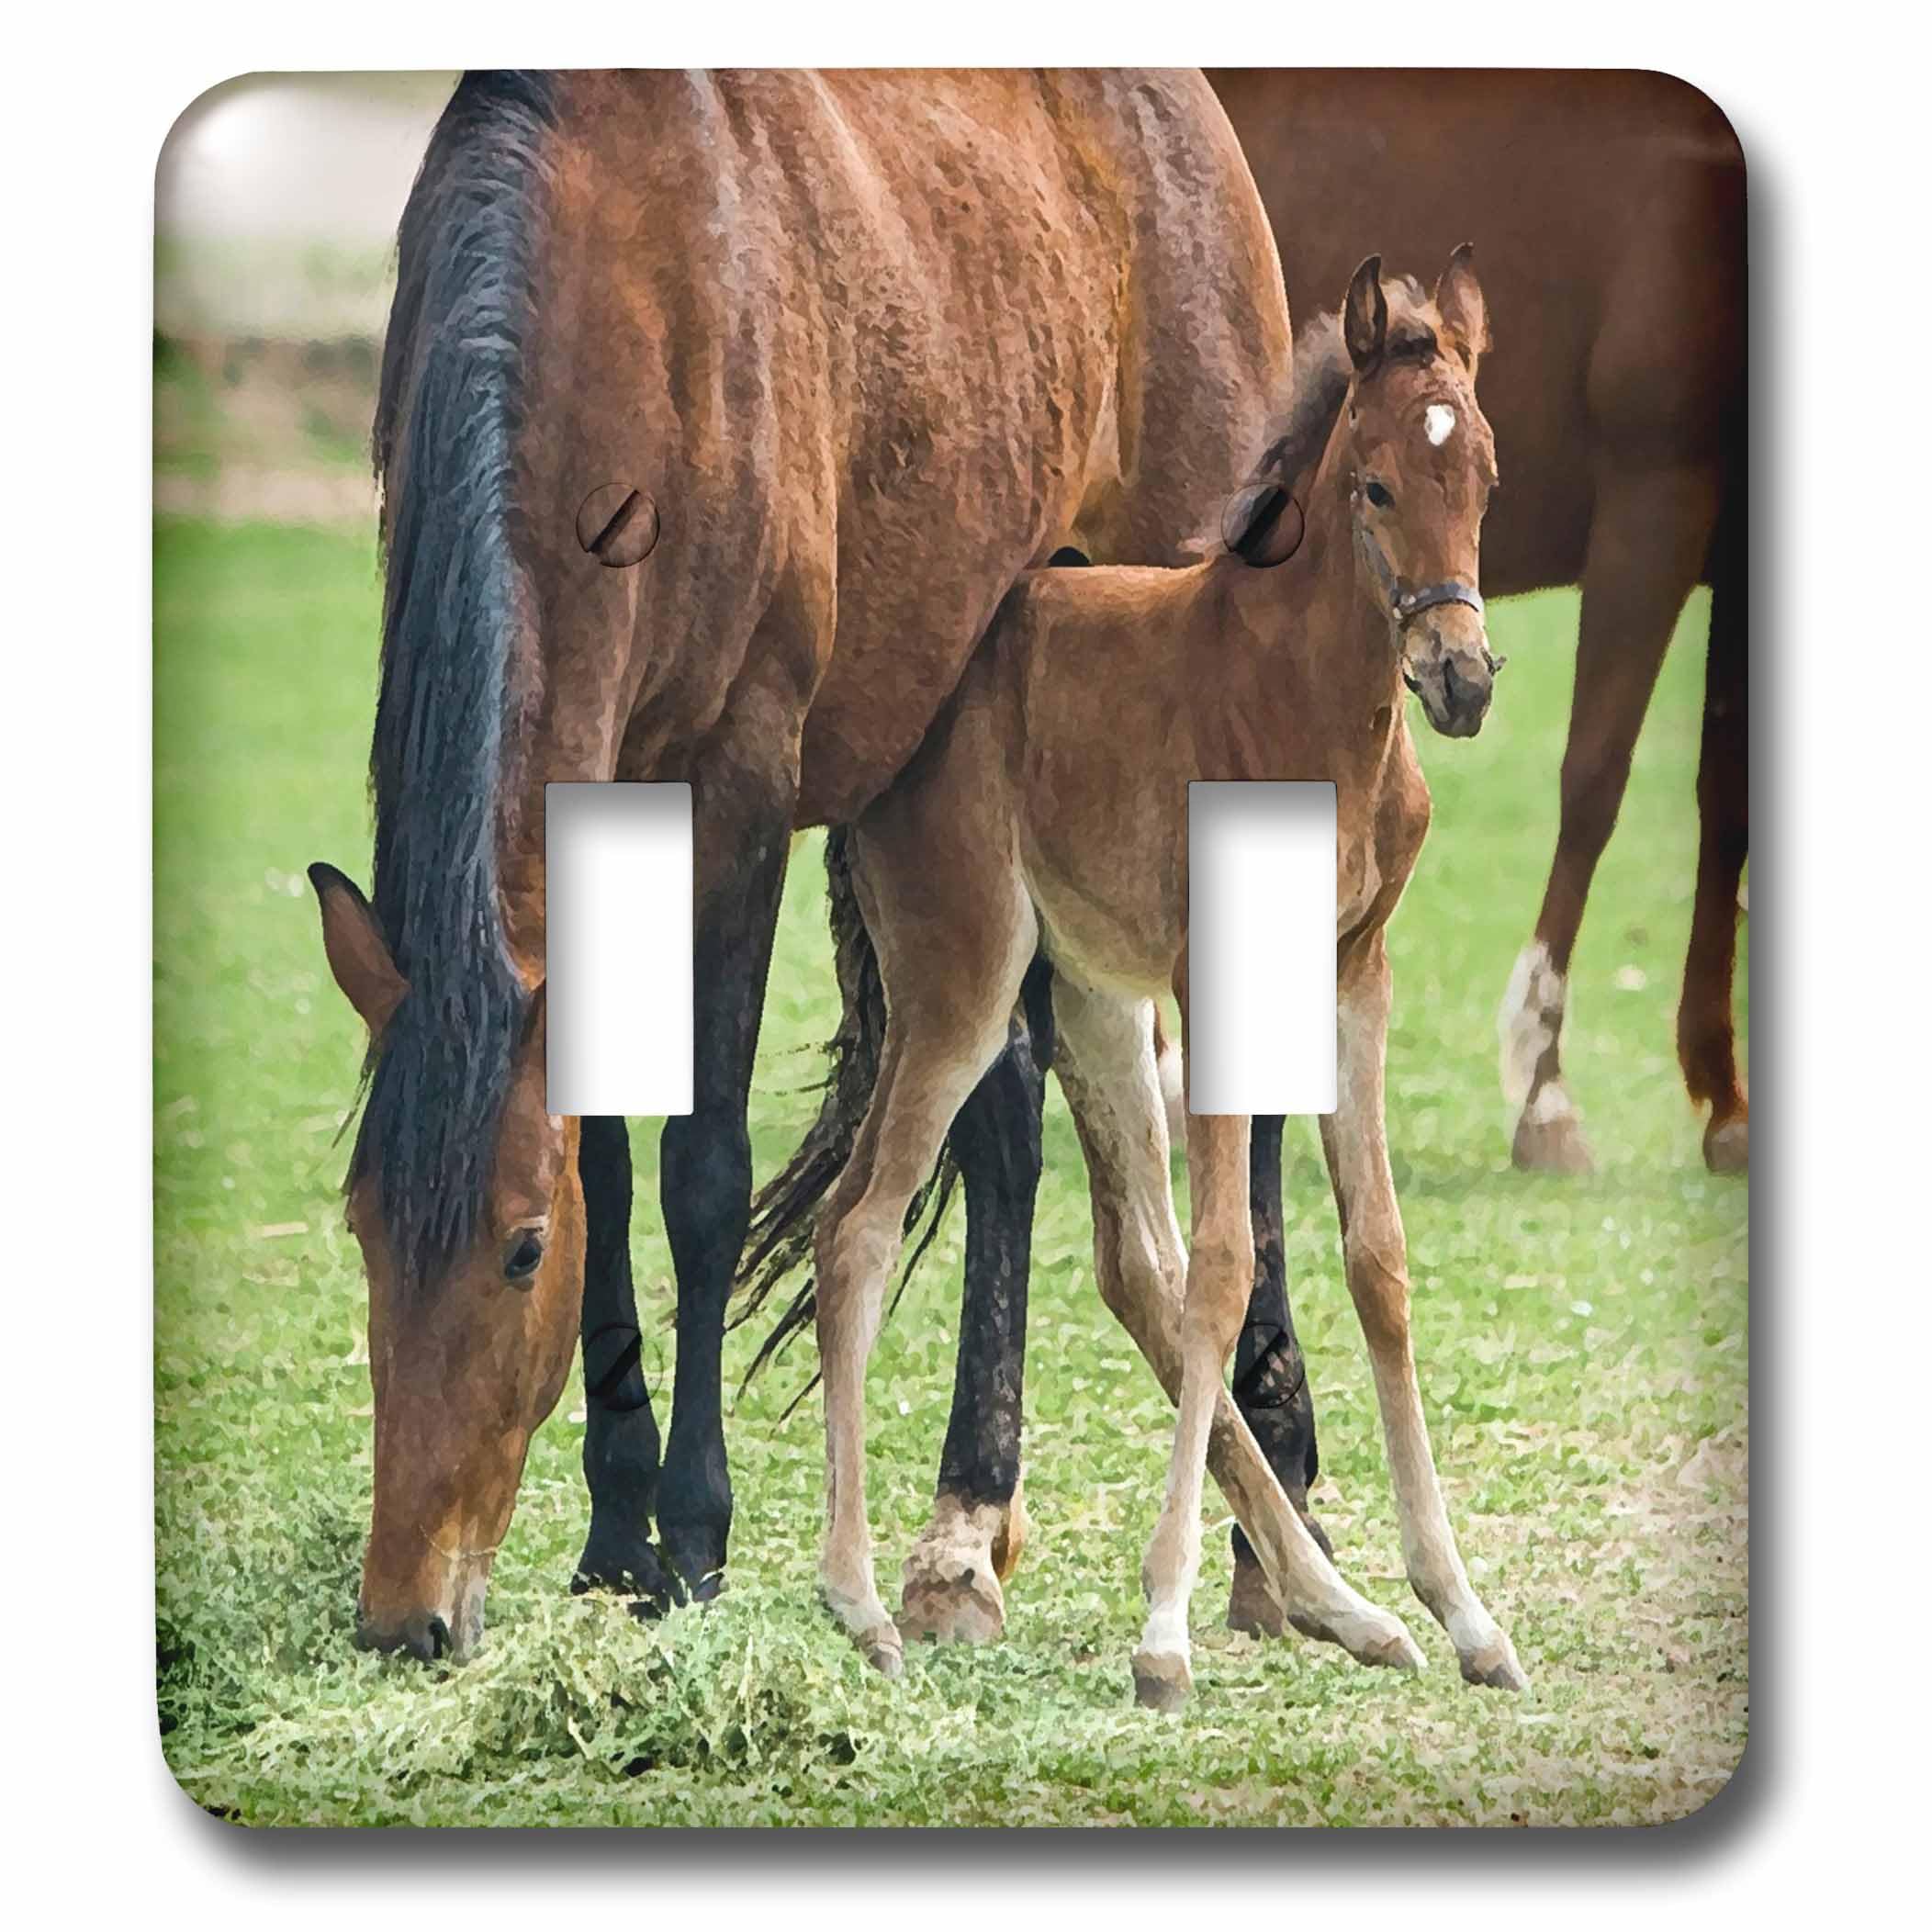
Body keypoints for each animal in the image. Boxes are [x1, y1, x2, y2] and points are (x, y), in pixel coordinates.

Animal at [305, 69, 1298, 1662]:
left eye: (519, 1250)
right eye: (360, 1227)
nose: (406, 1616)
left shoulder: (740, 787)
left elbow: (701, 1171)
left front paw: (696, 1538)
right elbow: (610, 1152)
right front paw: (616, 1535)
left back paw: (1276, 1511)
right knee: (1004, 1111)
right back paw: (968, 1530)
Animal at [811, 253, 1524, 1705]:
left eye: (1483, 473)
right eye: (1374, 485)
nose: (1461, 678)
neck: (1317, 710)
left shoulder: (1356, 977)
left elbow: (1375, 1259)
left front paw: (1465, 1613)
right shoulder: (1218, 977)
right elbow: (1225, 1269)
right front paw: (1162, 1634)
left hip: (1088, 994)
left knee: (1123, 1260)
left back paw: (1352, 1611)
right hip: (966, 982)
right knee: (854, 1231)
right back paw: (859, 1604)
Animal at [1209, 68, 1748, 1176]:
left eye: (1491, 484)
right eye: (1375, 487)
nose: (1460, 680)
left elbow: (1726, 799)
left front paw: (1727, 1103)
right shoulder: (1657, 496)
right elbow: (1595, 780)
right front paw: (1545, 1095)